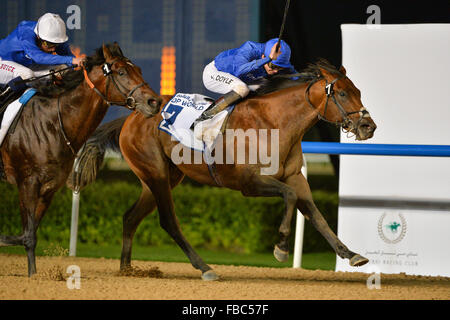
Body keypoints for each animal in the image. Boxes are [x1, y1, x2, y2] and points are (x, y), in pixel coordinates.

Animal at [0, 42, 163, 276]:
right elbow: (29, 235)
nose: (154, 102)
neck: (52, 123)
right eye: (121, 72)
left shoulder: (50, 187)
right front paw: (33, 275)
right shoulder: (27, 183)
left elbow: (29, 232)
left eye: (139, 70)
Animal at [73, 59, 376, 280]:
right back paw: (205, 268)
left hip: (160, 178)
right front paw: (280, 248)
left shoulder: (294, 176)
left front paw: (351, 254)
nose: (368, 126)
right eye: (342, 93)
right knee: (168, 221)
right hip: (156, 175)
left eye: (359, 91)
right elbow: (289, 197)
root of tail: (132, 117)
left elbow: (317, 216)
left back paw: (127, 269)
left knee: (130, 218)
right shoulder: (249, 183)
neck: (275, 122)